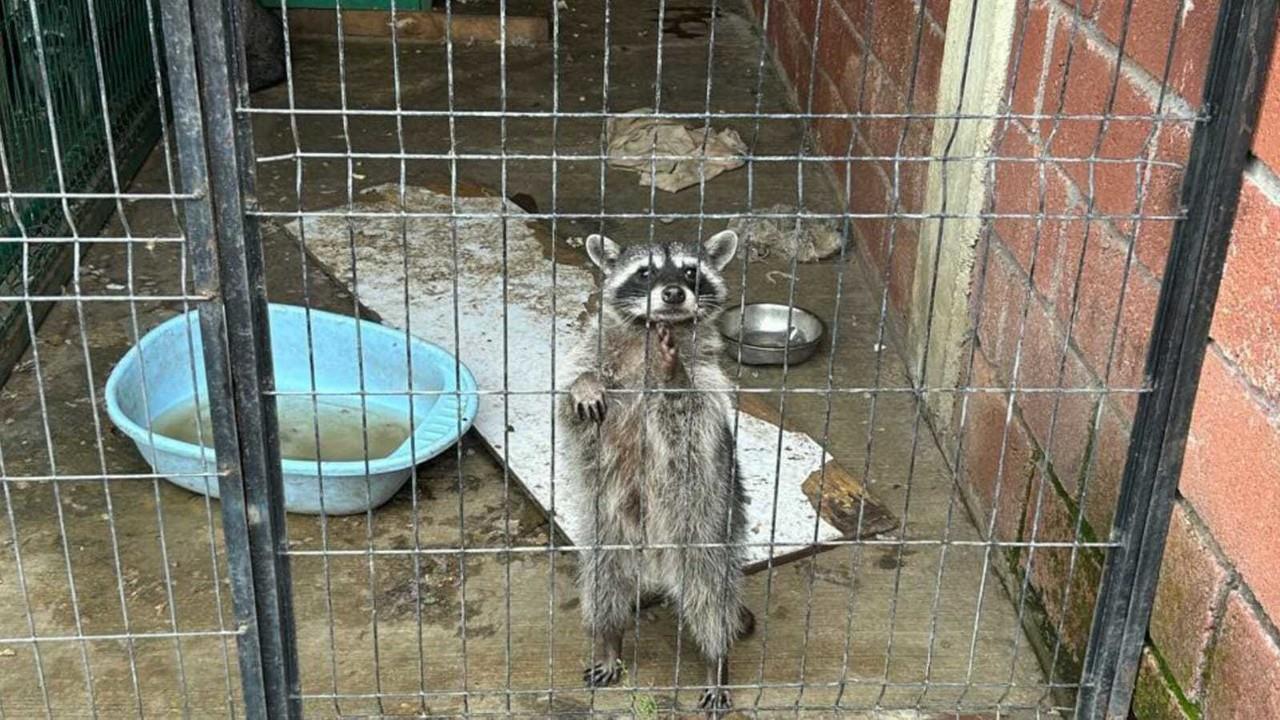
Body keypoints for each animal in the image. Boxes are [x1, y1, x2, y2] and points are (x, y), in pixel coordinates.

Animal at [563, 226, 757, 707]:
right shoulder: (592, 354)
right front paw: (584, 386)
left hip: (709, 528)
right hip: (606, 531)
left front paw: (672, 376)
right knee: (603, 584)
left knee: (711, 599)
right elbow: (570, 399)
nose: (673, 293)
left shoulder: (709, 384)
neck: (651, 336)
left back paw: (716, 661)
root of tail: (655, 561)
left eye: (690, 272)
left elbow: (689, 415)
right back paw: (609, 639)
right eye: (645, 272)